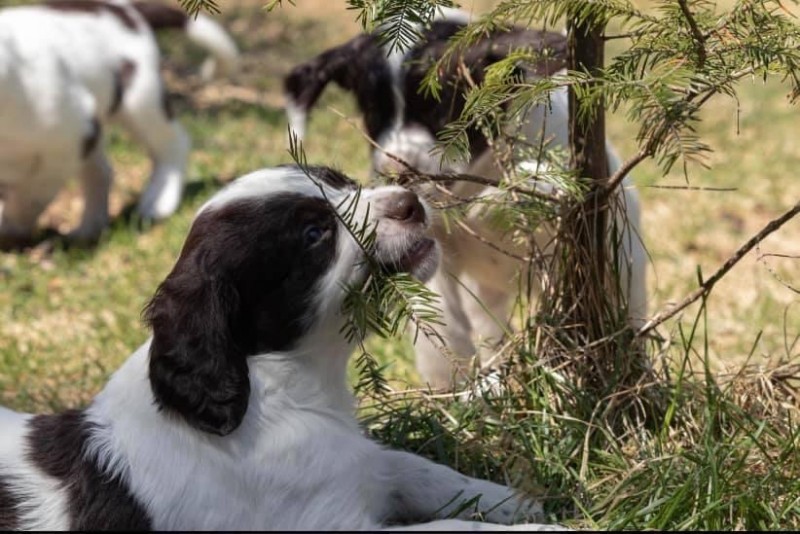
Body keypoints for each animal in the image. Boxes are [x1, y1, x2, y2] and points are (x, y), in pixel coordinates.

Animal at [0, 0, 238, 249]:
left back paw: (158, 201)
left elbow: (31, 194)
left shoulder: (72, 138)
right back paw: (89, 229)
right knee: (101, 171)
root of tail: (123, 9)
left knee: (173, 143)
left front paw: (12, 227)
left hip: (140, 99)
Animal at [0, 166, 564, 532]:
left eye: (343, 182)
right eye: (315, 234)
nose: (408, 202)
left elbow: (418, 469)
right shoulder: (329, 523)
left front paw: (520, 501)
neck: (274, 384)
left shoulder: (357, 465)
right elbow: (448, 528)